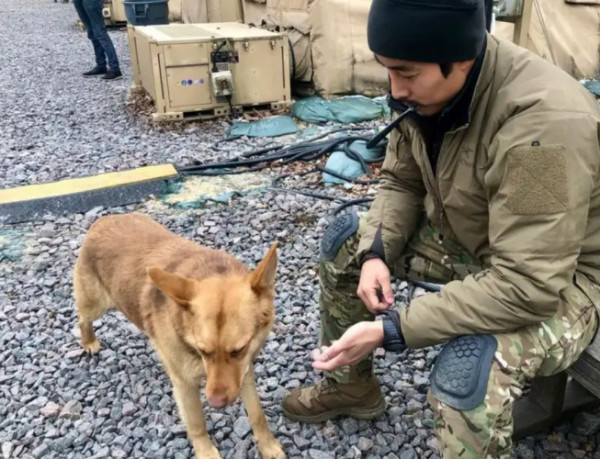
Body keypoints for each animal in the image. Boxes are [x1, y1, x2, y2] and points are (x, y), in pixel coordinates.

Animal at [74, 214, 286, 458]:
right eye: (204, 351)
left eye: (238, 350)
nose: (215, 402)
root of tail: (103, 220)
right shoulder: (185, 384)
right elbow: (197, 424)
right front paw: (206, 452)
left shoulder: (243, 371)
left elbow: (257, 413)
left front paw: (267, 445)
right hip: (96, 303)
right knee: (82, 318)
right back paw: (89, 341)